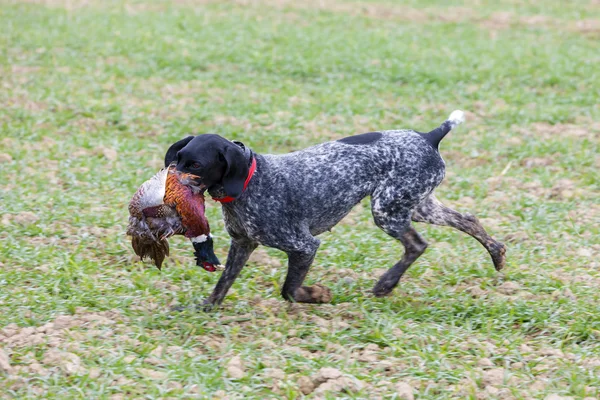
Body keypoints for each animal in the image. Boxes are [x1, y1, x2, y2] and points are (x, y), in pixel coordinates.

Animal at [164, 111, 506, 308]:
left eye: (195, 165)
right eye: (176, 158)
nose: (167, 184)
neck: (252, 181)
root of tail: (429, 135)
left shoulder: (304, 246)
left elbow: (289, 289)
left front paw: (318, 296)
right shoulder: (243, 244)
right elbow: (223, 284)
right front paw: (206, 307)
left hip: (387, 209)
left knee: (417, 244)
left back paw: (386, 284)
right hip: (418, 205)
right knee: (469, 219)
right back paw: (497, 254)